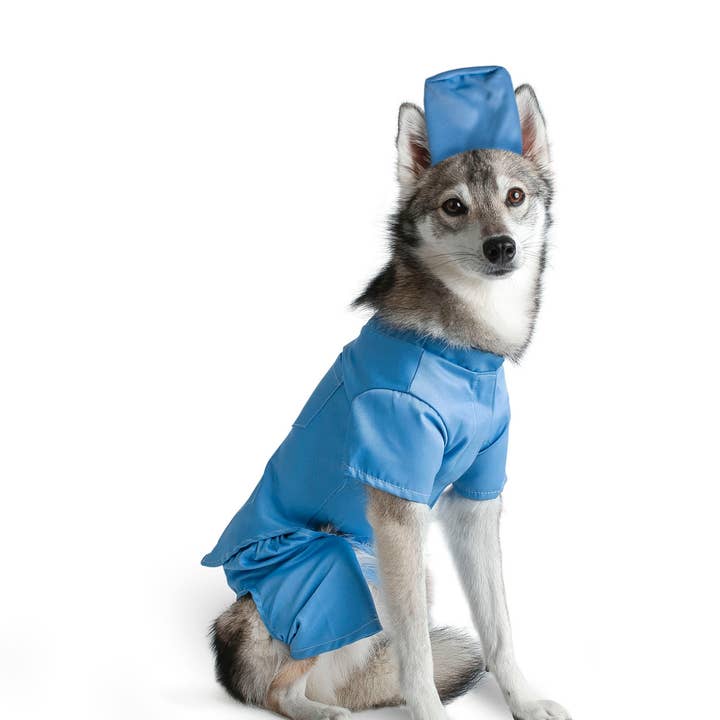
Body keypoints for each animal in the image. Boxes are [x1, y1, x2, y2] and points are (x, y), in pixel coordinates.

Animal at [204, 83, 570, 720]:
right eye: (453, 206)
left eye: (515, 196)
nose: (500, 247)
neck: (461, 353)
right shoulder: (398, 511)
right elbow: (416, 652)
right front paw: (431, 713)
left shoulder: (475, 501)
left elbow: (499, 626)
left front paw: (524, 701)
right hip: (338, 566)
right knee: (278, 692)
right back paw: (326, 713)